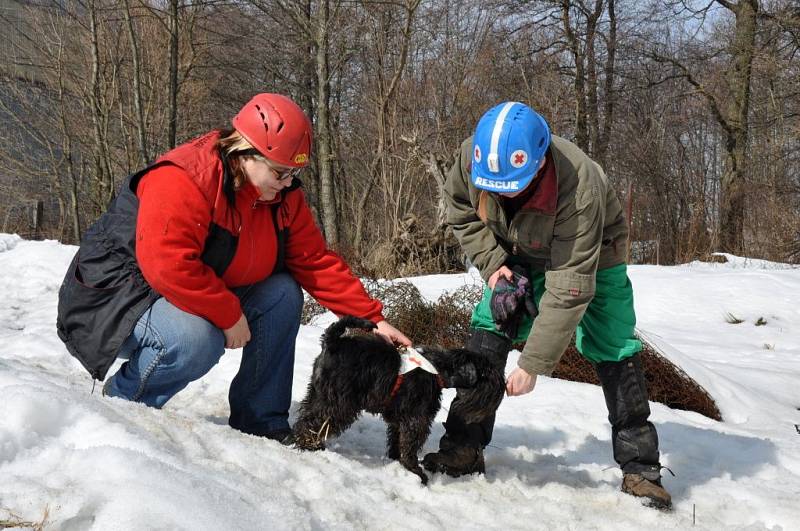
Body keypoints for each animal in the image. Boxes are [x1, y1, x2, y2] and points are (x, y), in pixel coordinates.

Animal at [294, 316, 506, 486]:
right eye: (488, 373)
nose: (503, 384)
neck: (439, 370)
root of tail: (332, 342)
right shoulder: (417, 420)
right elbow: (410, 446)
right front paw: (416, 472)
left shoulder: (401, 418)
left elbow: (397, 440)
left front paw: (397, 461)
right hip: (338, 403)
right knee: (313, 422)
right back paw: (308, 445)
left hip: (318, 393)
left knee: (306, 415)